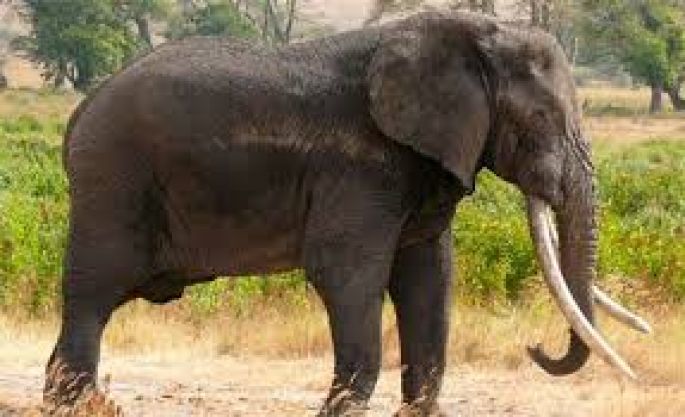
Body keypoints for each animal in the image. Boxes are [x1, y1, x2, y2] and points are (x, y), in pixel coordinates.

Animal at [45, 11, 651, 416]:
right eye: (541, 118)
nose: (535, 347)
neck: (465, 31)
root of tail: (77, 117)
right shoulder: (361, 167)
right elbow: (346, 274)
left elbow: (429, 279)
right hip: (113, 182)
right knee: (92, 295)